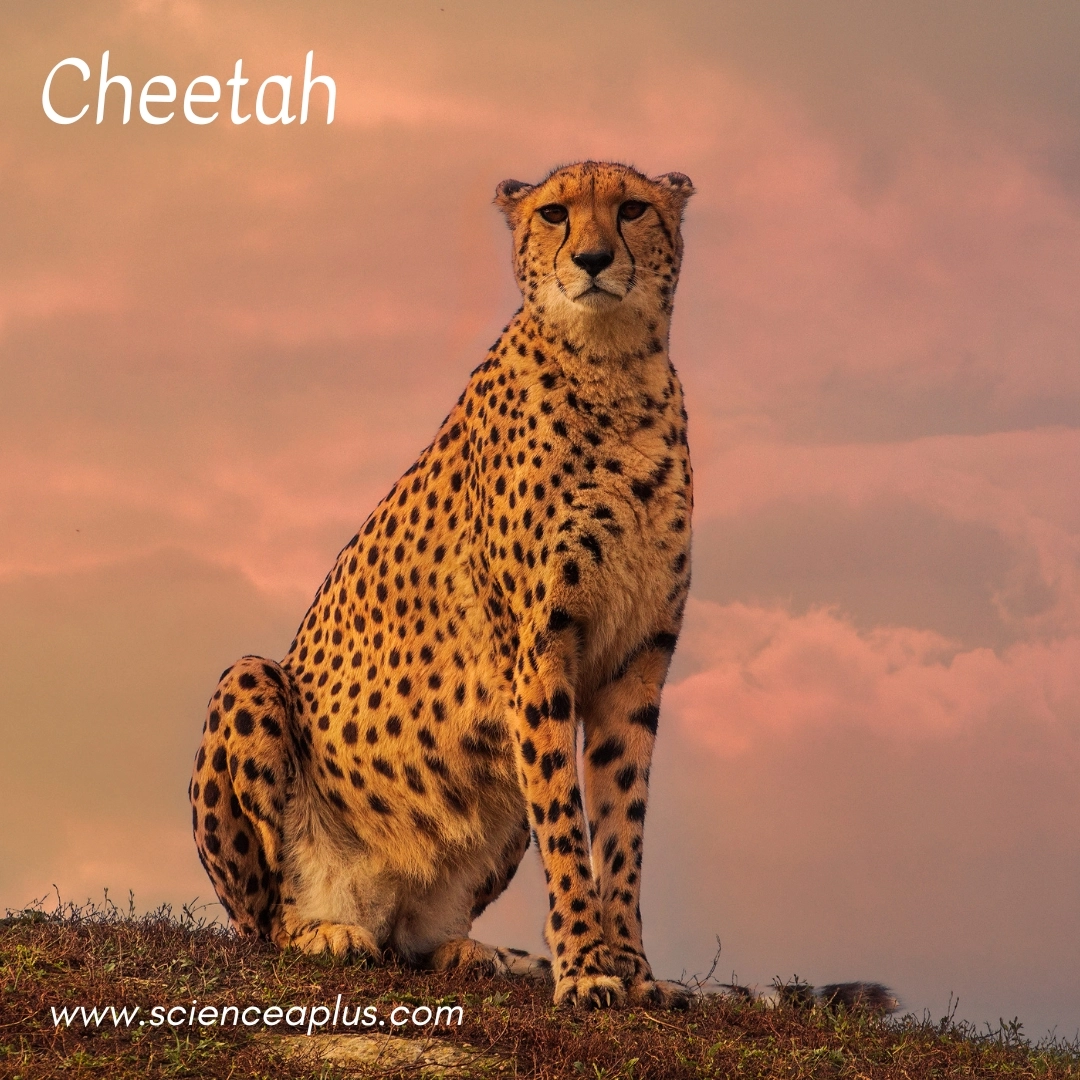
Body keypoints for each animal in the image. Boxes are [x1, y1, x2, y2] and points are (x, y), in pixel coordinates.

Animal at [189, 160, 698, 1010]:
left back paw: (463, 950)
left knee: (419, 938)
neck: (613, 367)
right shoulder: (540, 654)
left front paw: (634, 970)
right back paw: (322, 931)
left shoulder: (638, 658)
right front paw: (586, 969)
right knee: (263, 920)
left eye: (631, 209)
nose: (593, 260)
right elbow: (568, 823)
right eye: (555, 213)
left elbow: (620, 823)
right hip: (251, 681)